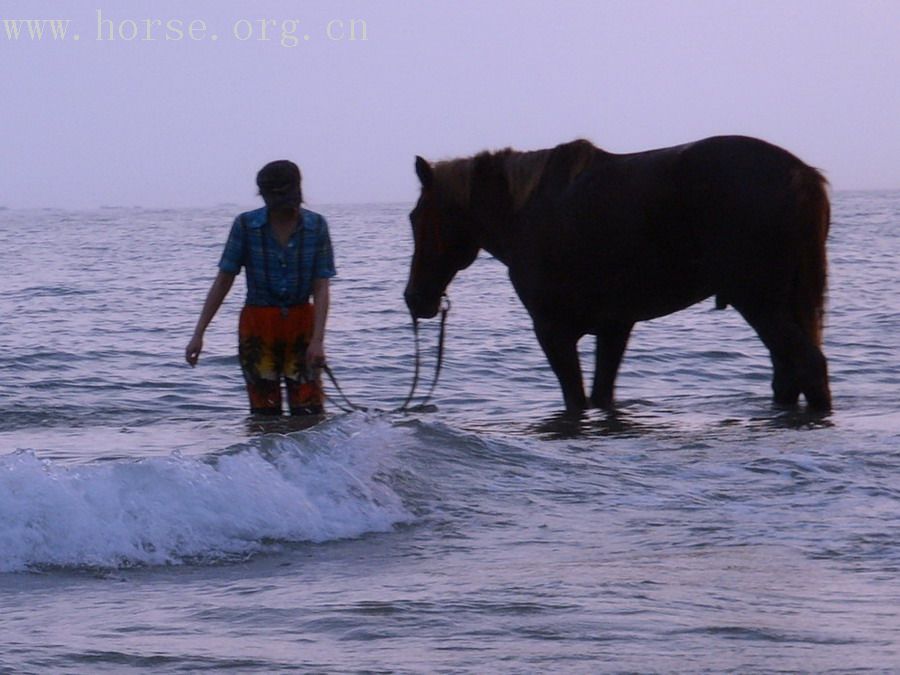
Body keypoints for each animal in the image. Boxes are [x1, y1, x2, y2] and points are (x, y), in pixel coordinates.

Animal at [404, 136, 832, 412]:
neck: (527, 213)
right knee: (789, 374)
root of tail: (802, 175)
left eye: (416, 217)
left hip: (760, 303)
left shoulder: (552, 331)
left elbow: (577, 400)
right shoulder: (614, 327)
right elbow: (601, 396)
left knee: (808, 366)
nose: (414, 298)